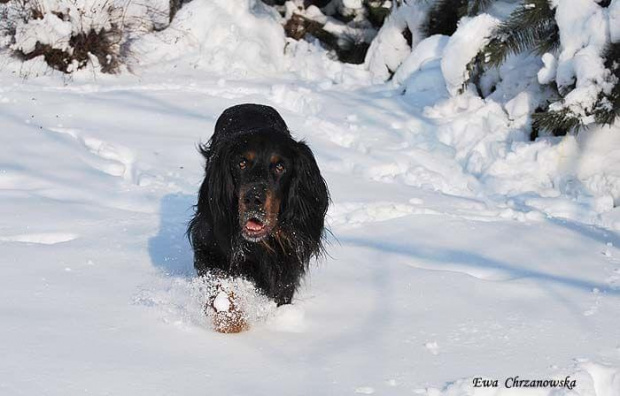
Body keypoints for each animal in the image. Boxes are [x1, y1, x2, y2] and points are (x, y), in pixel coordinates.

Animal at [188, 105, 330, 310]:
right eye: (241, 163)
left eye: (280, 166)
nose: (253, 199)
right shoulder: (210, 245)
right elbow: (218, 282)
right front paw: (224, 308)